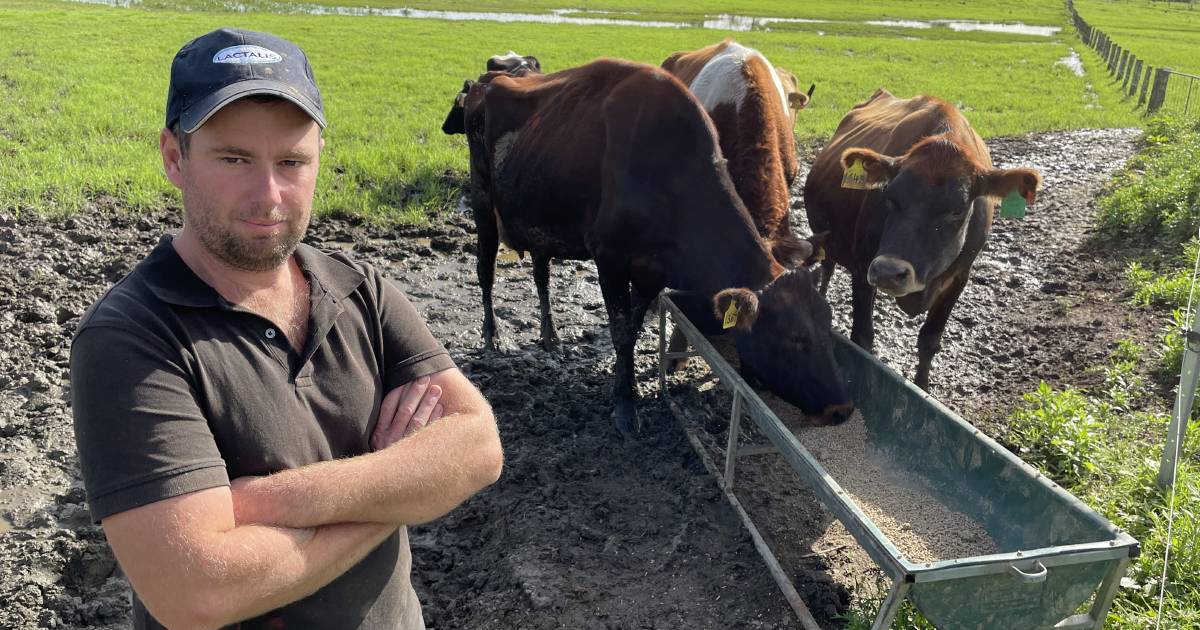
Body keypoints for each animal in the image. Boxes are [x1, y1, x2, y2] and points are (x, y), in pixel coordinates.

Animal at [451, 57, 854, 432]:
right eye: (794, 338)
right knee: (485, 269)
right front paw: (625, 405)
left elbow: (631, 330)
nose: (841, 410)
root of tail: (489, 81)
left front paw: (627, 388)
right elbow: (619, 331)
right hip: (483, 202)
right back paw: (492, 335)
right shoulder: (609, 258)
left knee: (541, 272)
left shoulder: (652, 270)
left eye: (828, 326)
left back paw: (550, 335)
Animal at [801, 89, 1046, 388]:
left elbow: (929, 341)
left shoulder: (959, 278)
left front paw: (922, 387)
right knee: (827, 267)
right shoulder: (862, 270)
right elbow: (862, 337)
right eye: (888, 196)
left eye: (957, 209)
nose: (889, 272)